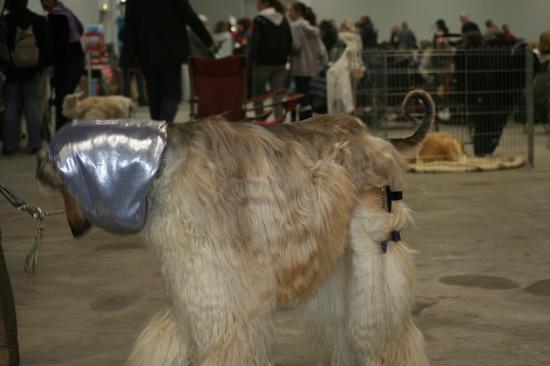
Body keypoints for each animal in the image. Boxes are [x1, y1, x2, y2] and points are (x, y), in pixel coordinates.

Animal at [37, 90, 436, 364]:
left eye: (63, 186)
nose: (73, 230)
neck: (164, 164)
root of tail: (373, 136)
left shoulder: (224, 287)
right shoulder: (196, 285)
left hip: (373, 242)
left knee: (387, 328)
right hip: (339, 258)